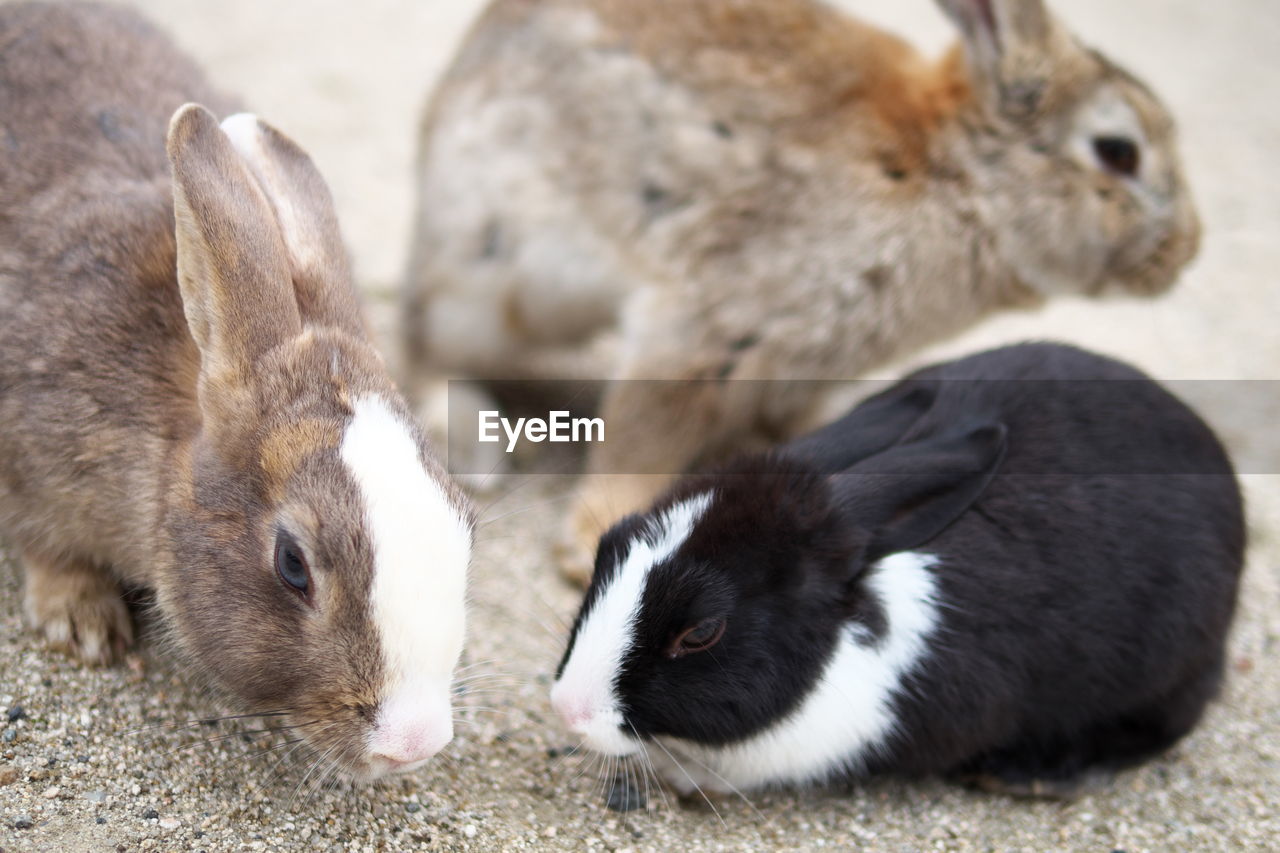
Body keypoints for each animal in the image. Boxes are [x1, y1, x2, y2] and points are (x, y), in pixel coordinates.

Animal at [399, 0, 1198, 581]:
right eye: (1118, 152)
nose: (1186, 253)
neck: (957, 179)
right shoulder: (707, 328)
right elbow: (645, 431)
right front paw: (589, 545)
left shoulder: (803, 364)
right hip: (495, 278)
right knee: (427, 340)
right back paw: (469, 438)